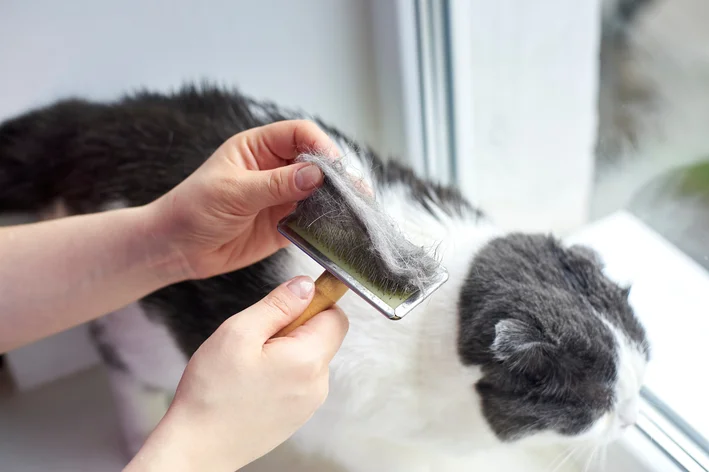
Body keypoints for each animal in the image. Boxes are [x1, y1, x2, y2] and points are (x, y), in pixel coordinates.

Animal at [0, 83, 648, 470]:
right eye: (594, 403)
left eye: (643, 371)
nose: (633, 416)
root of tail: (103, 120)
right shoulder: (387, 445)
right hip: (142, 331)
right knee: (122, 370)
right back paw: (135, 433)